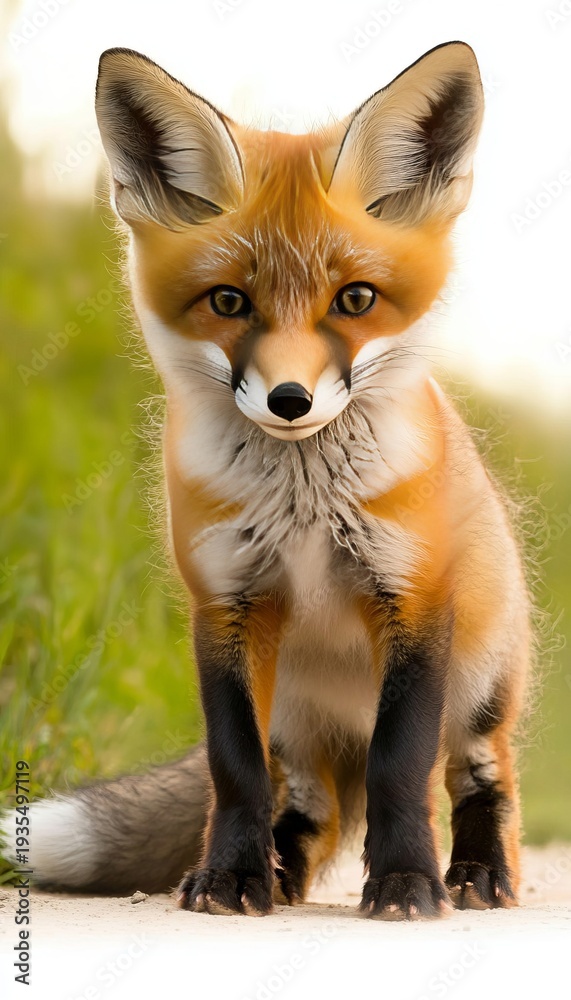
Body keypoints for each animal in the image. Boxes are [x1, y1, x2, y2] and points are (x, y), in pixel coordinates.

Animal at [2, 41, 531, 921]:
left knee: (476, 775)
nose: (289, 401)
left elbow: (400, 766)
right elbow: (235, 770)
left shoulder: (415, 601)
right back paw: (277, 873)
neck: (305, 507)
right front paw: (228, 878)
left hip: (481, 678)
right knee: (306, 802)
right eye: (227, 301)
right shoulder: (225, 606)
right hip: (292, 712)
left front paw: (405, 884)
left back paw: (477, 873)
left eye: (355, 299)